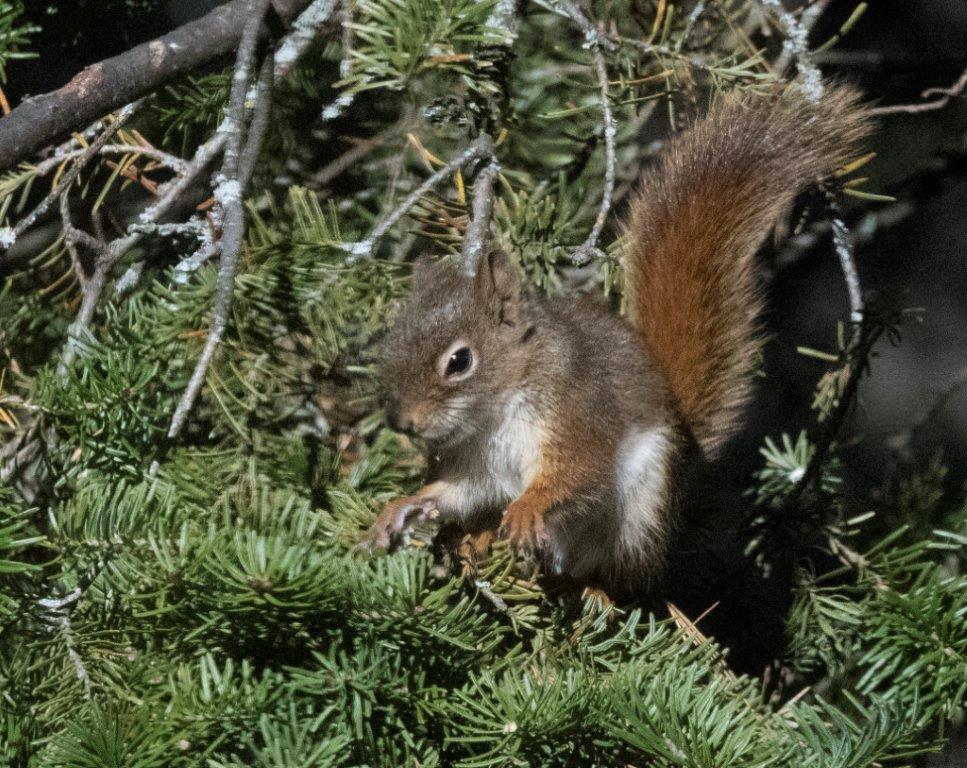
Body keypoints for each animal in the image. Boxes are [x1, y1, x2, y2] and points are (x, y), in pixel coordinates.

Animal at [362, 85, 871, 588]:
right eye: (391, 343)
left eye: (459, 361)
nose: (401, 423)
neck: (495, 413)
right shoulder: (477, 466)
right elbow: (455, 493)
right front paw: (401, 507)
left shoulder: (577, 413)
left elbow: (577, 474)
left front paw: (527, 508)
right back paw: (478, 542)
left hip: (641, 508)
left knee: (614, 572)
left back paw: (586, 583)